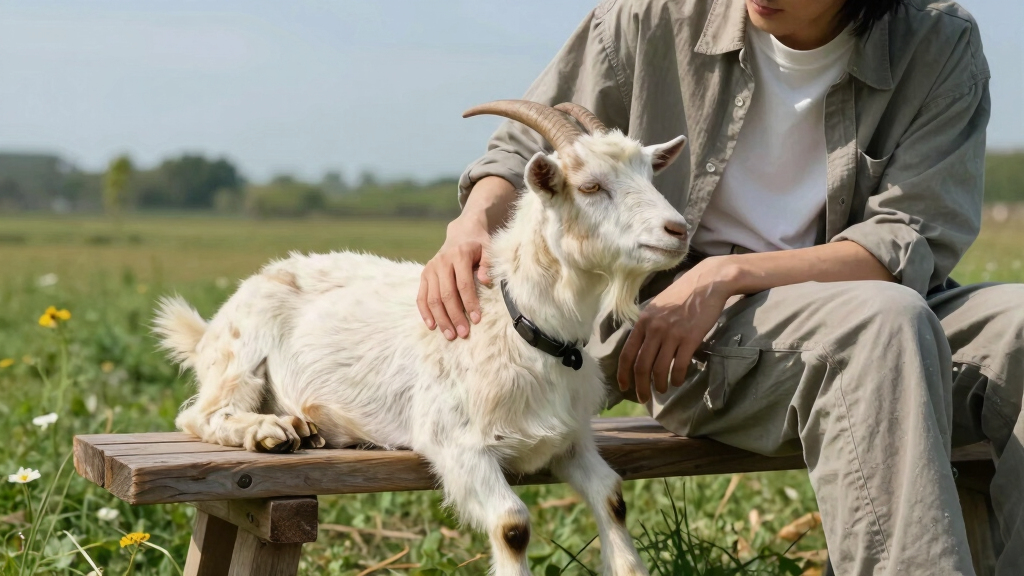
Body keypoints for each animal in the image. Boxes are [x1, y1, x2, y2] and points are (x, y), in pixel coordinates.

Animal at [154, 100, 690, 576]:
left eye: (649, 174)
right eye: (590, 185)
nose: (677, 229)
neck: (521, 325)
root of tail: (207, 332)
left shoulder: (572, 439)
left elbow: (612, 497)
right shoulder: (456, 443)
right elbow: (512, 524)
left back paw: (305, 427)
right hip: (240, 354)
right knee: (200, 414)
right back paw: (270, 432)